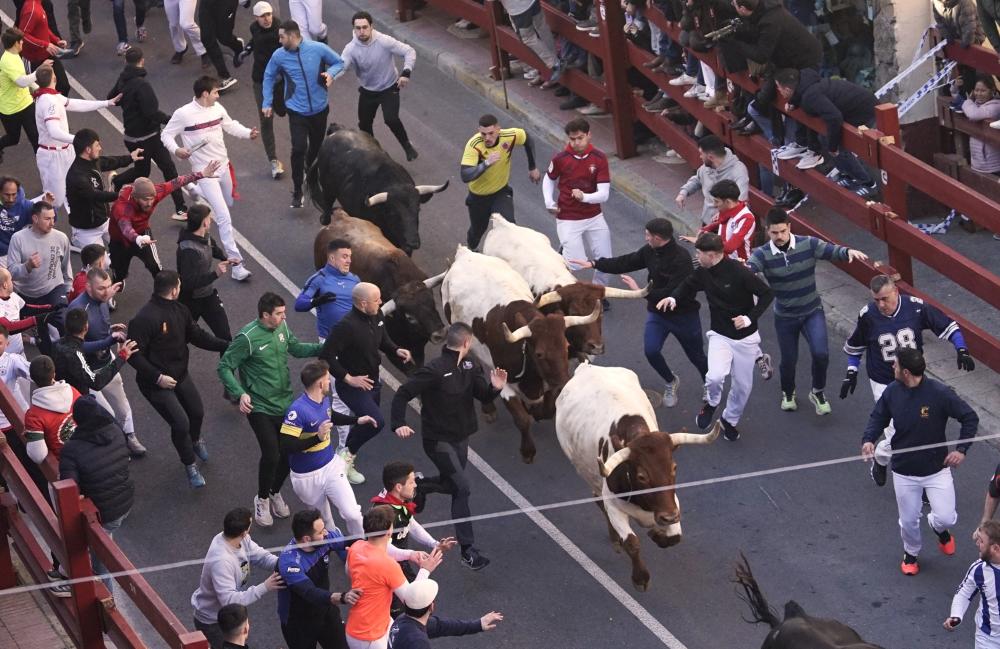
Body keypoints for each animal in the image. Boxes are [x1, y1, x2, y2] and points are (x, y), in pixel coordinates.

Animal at [302, 123, 448, 254]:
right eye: (393, 213)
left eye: (418, 209)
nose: (413, 243)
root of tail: (337, 130)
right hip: (327, 189)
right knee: (327, 206)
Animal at [446, 243, 600, 460]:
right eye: (539, 354)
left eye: (566, 346)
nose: (564, 382)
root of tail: (464, 253)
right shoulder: (506, 384)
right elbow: (522, 420)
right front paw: (528, 451)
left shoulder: (548, 381)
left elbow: (548, 410)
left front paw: (537, 411)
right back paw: (488, 408)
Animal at [556, 362, 720, 588]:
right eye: (642, 476)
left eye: (674, 467)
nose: (669, 517)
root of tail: (586, 367)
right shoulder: (614, 505)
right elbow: (632, 543)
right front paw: (640, 578)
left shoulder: (671, 502)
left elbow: (675, 537)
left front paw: (657, 534)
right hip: (587, 473)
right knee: (598, 501)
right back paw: (614, 539)